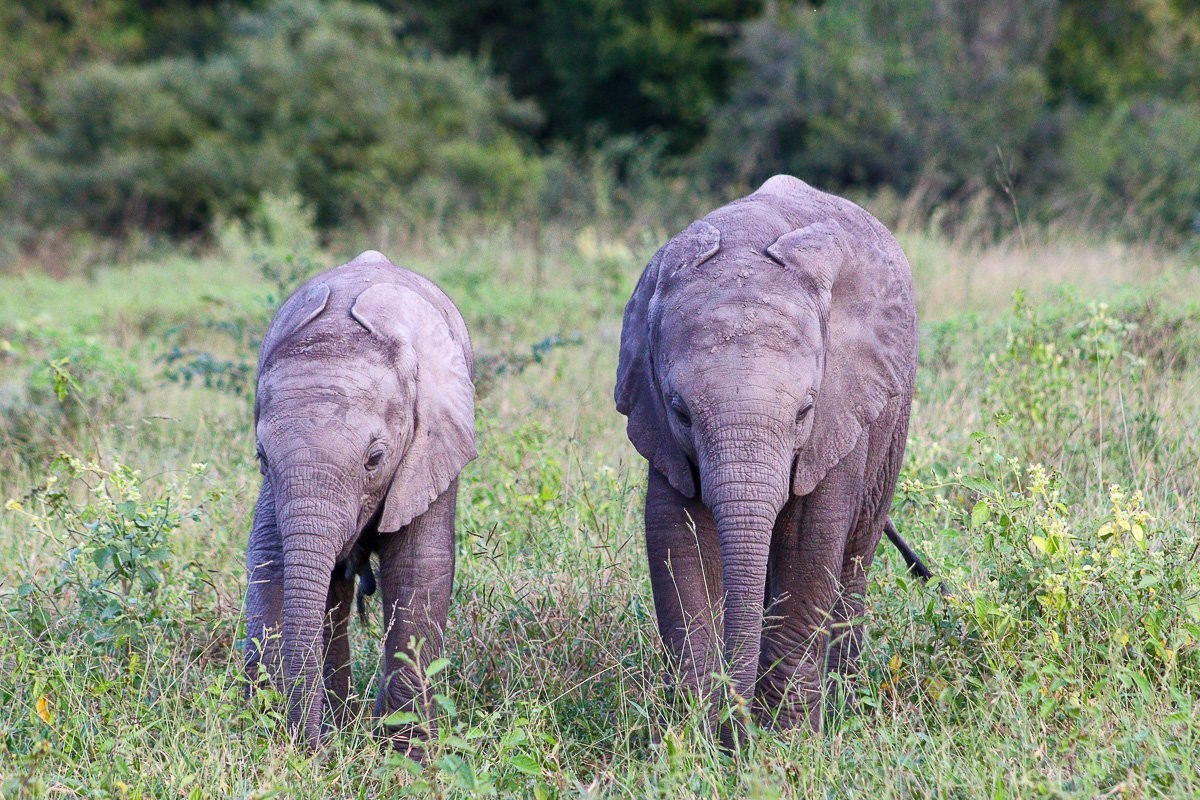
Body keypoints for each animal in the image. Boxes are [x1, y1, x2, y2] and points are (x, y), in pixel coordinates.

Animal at [243, 250, 476, 753]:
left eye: (375, 459)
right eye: (261, 457)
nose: (309, 750)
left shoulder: (432, 442)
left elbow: (418, 568)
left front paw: (407, 756)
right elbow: (273, 560)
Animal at [615, 175, 927, 745]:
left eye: (805, 410)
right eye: (680, 411)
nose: (735, 732)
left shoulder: (840, 412)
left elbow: (809, 544)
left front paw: (788, 742)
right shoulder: (661, 430)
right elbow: (677, 539)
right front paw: (693, 738)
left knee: (853, 560)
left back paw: (844, 704)